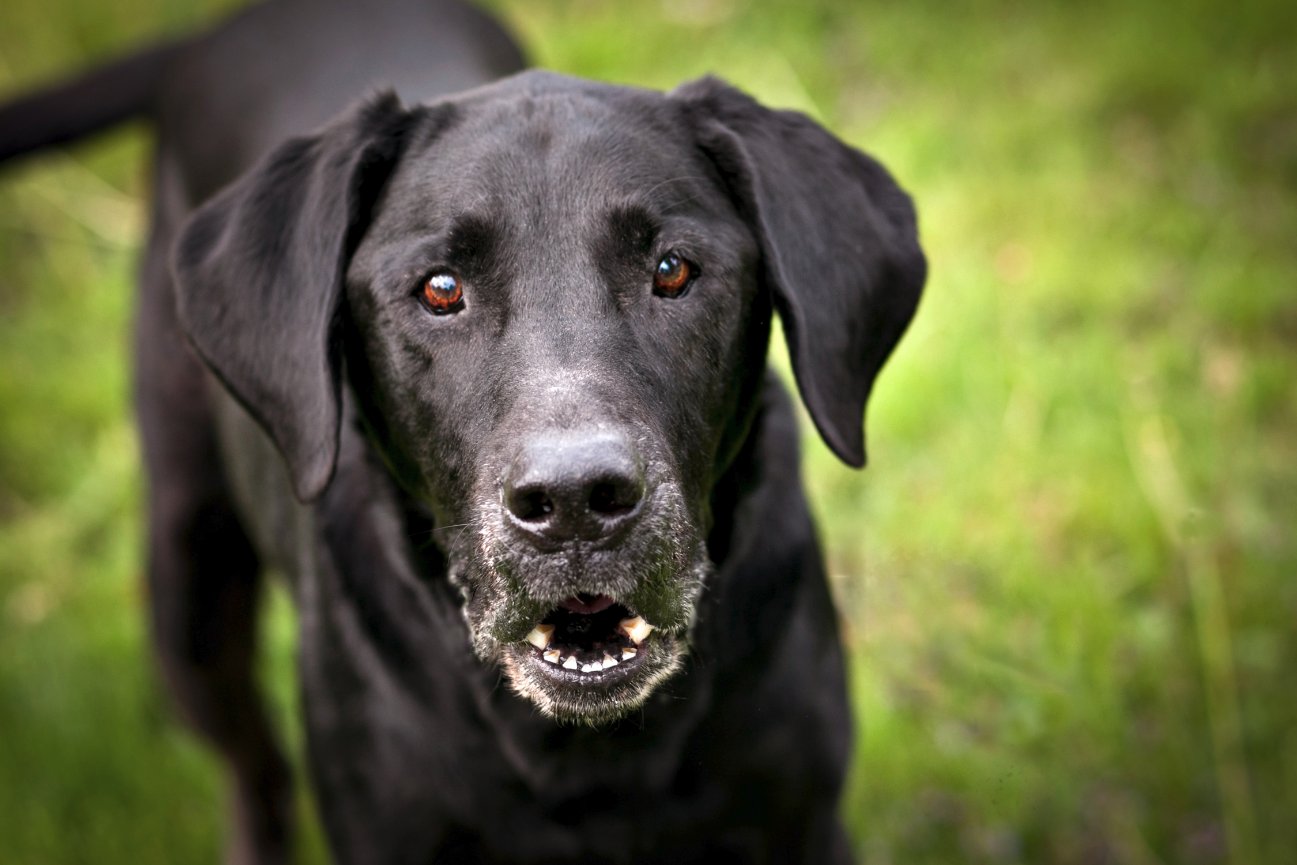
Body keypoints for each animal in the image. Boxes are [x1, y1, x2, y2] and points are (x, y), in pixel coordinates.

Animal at [5, 0, 928, 861]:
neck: (584, 755)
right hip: (187, 576)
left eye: (672, 269)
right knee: (252, 766)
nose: (575, 502)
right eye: (441, 289)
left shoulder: (798, 820)